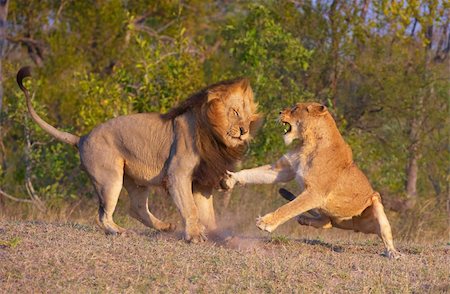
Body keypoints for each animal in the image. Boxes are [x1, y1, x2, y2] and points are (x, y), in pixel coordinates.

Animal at [17, 68, 260, 242]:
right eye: (235, 112)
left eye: (249, 118)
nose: (244, 130)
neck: (214, 133)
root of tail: (81, 138)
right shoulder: (178, 174)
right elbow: (190, 208)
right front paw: (195, 236)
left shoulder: (202, 180)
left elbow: (208, 213)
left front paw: (217, 235)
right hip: (109, 178)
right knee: (103, 215)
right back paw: (120, 231)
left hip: (137, 180)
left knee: (136, 208)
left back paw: (165, 226)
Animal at [224, 102, 400, 258]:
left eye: (295, 108)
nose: (279, 112)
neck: (309, 142)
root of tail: (354, 226)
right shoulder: (283, 170)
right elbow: (253, 173)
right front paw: (231, 179)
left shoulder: (315, 193)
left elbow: (289, 208)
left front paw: (265, 223)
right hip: (329, 211)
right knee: (327, 222)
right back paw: (304, 219)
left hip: (376, 202)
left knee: (384, 233)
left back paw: (393, 253)